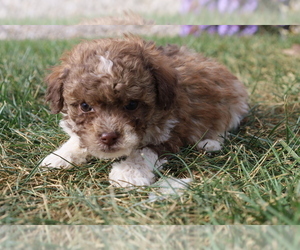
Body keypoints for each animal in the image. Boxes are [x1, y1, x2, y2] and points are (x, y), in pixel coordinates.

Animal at [39, 35, 248, 188]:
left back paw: (209, 143)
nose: (108, 137)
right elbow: (78, 140)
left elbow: (144, 151)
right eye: (84, 106)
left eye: (132, 104)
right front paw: (59, 157)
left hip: (234, 102)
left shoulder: (171, 131)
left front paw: (128, 173)